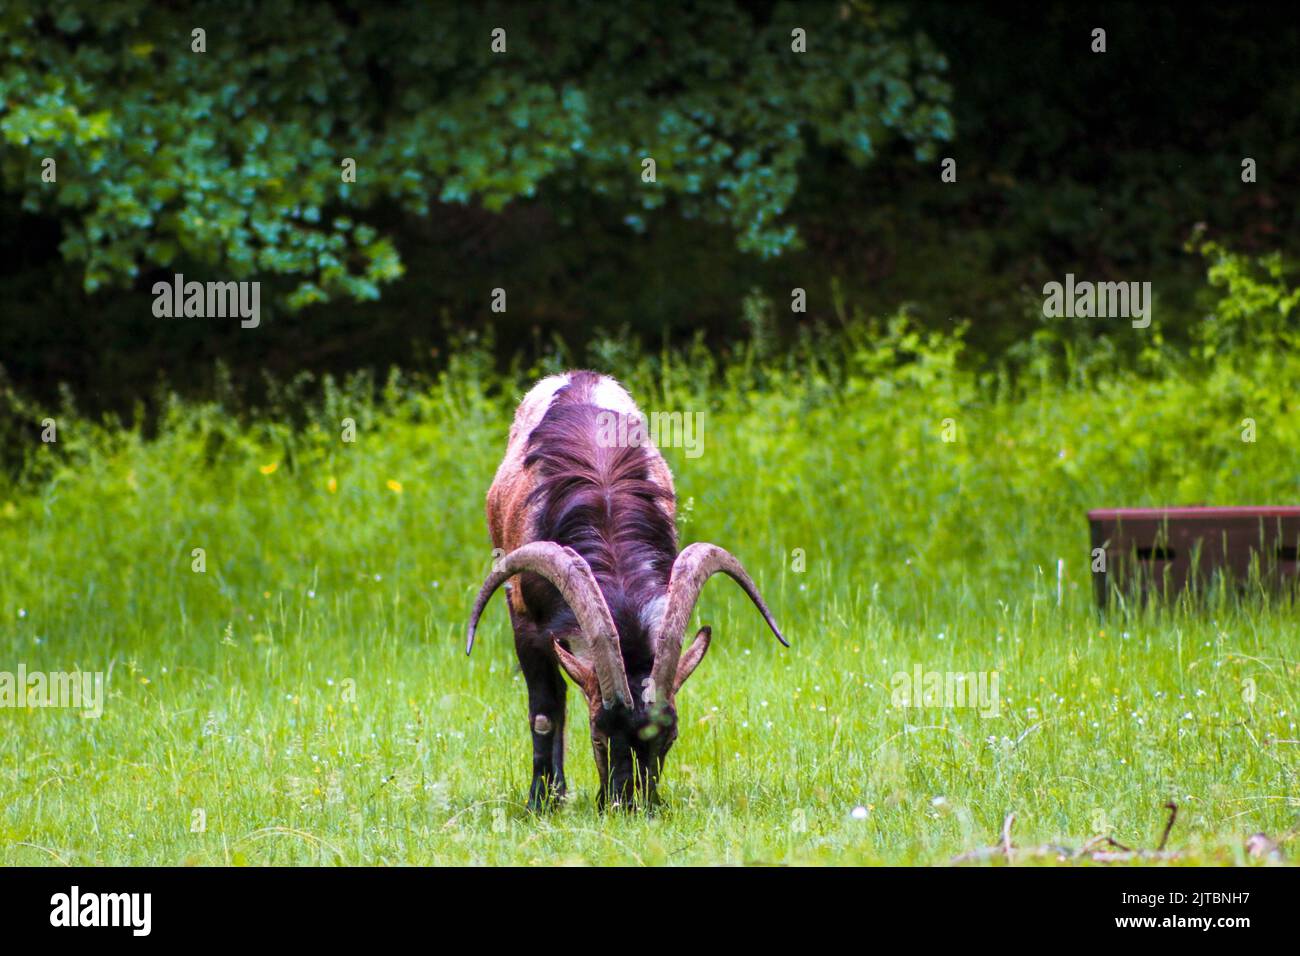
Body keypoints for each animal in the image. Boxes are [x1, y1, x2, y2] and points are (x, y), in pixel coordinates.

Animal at [467, 371, 787, 809]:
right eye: (600, 735)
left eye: (669, 738)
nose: (632, 806)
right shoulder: (523, 610)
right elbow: (545, 710)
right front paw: (541, 801)